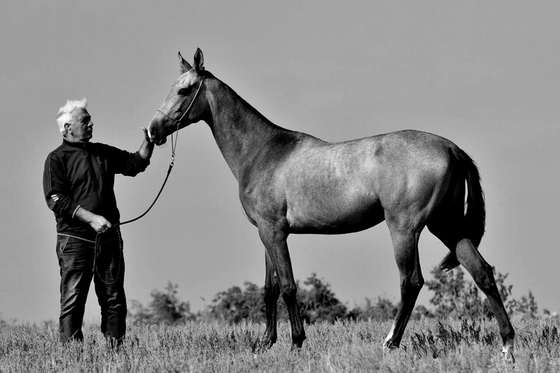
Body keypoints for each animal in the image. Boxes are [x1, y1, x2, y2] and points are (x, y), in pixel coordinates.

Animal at [149, 48, 516, 358]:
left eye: (184, 90)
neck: (264, 152)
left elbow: (288, 287)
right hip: (448, 226)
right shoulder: (265, 234)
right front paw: (265, 343)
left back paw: (390, 343)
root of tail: (451, 148)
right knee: (482, 273)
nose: (153, 130)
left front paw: (296, 342)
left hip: (405, 228)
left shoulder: (275, 233)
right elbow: (269, 289)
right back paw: (507, 345)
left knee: (411, 281)